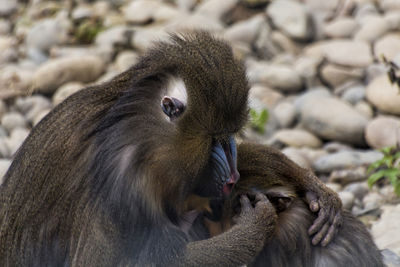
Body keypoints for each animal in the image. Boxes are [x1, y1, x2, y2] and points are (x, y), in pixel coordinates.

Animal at [0, 32, 338, 266]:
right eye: (214, 139)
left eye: (230, 136)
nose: (233, 176)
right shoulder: (122, 180)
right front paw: (256, 222)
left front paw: (310, 186)